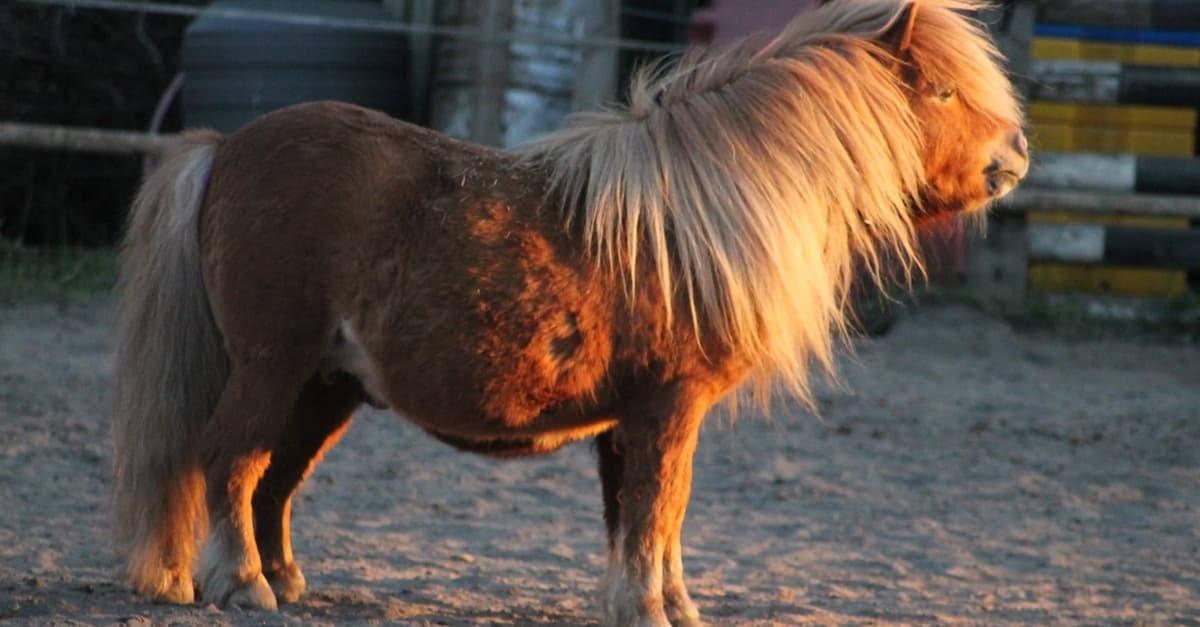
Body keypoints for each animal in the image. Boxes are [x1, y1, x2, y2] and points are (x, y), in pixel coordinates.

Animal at [111, 0, 1027, 624]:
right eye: (944, 91)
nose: (1015, 156)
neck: (696, 217)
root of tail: (225, 147)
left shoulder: (633, 419)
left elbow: (643, 517)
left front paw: (663, 606)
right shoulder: (667, 409)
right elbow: (657, 511)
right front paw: (652, 608)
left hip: (325, 387)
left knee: (274, 480)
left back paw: (282, 579)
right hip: (275, 367)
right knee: (231, 460)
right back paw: (245, 585)